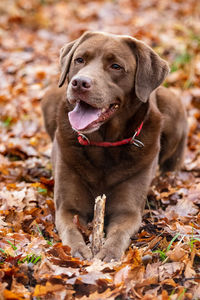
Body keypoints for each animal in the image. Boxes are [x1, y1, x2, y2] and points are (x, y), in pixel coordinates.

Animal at [41, 30, 188, 260]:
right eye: (79, 60)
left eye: (116, 66)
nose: (79, 82)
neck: (104, 144)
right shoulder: (67, 207)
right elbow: (71, 229)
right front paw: (78, 251)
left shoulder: (127, 211)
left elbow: (119, 232)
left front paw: (108, 254)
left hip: (175, 105)